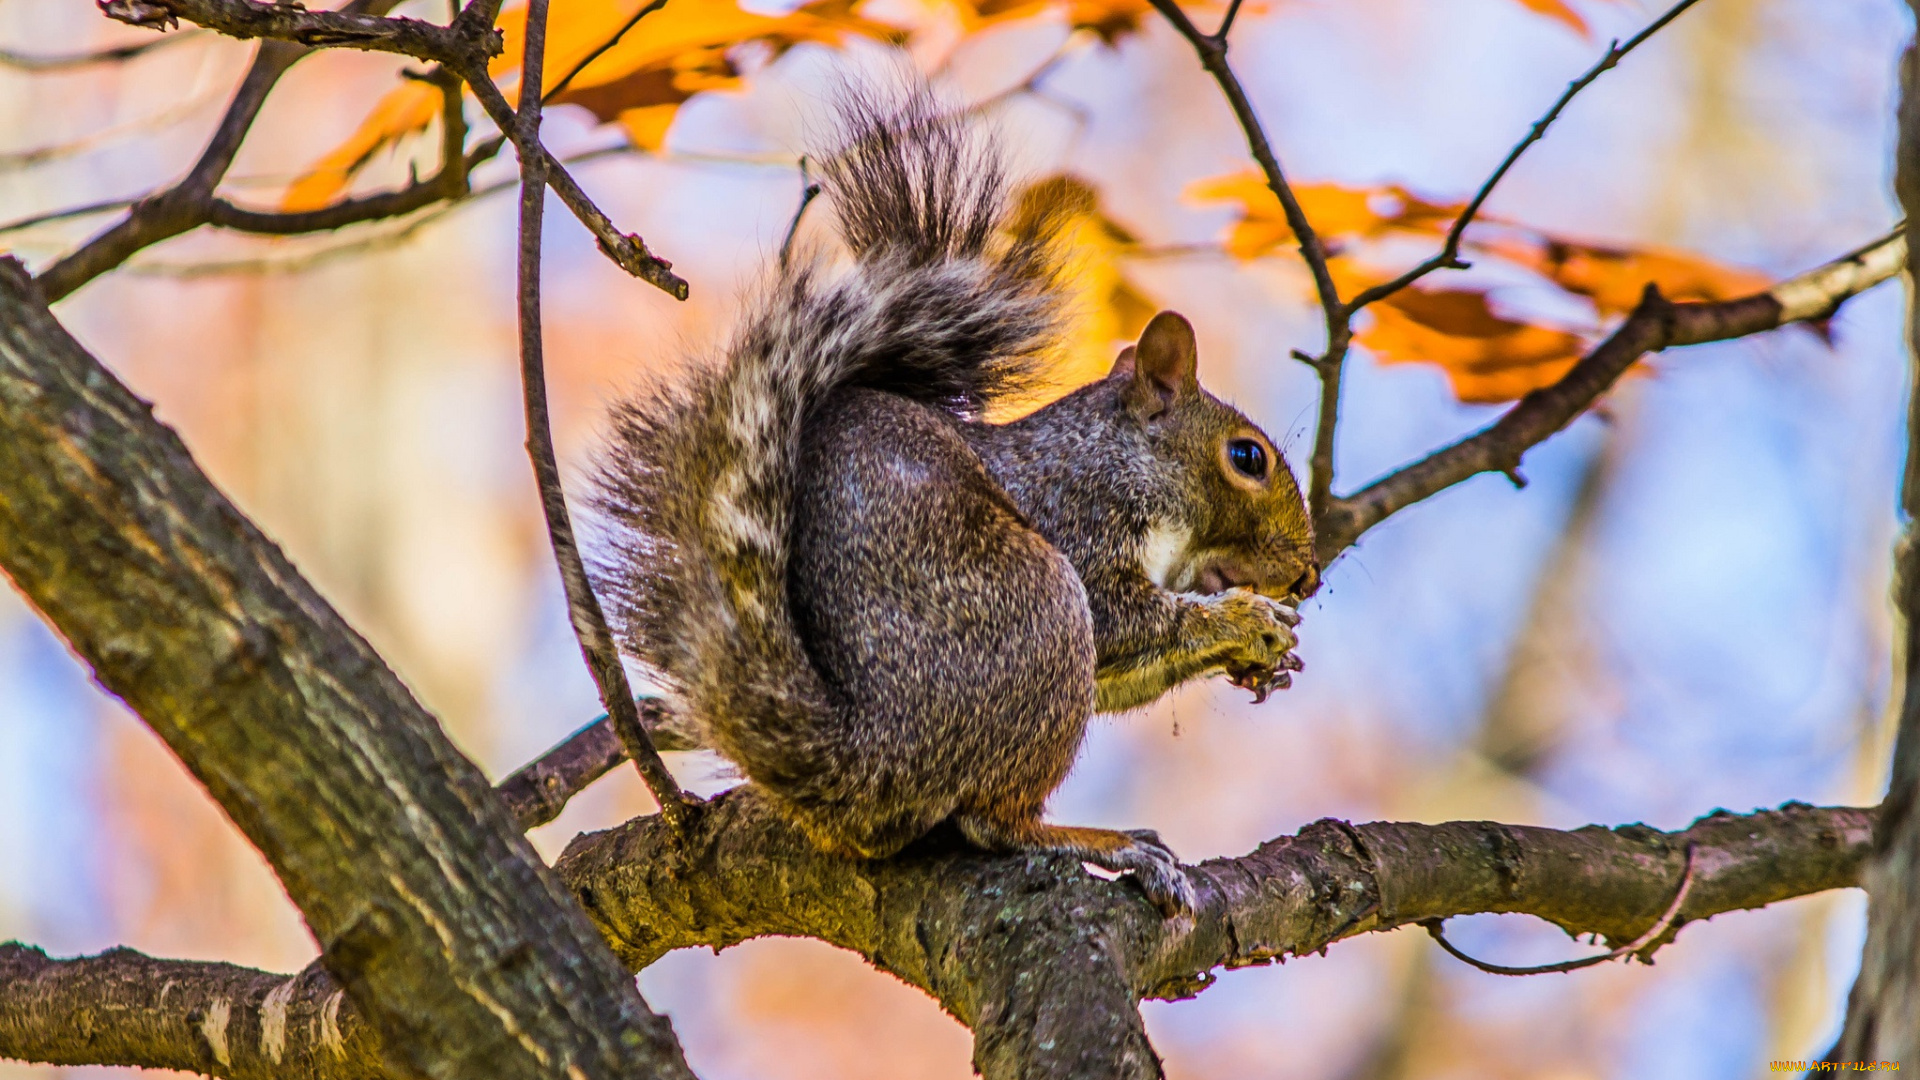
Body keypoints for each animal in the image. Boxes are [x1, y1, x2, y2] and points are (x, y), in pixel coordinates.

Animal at [595, 94, 1320, 914]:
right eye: (1247, 458)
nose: (1307, 576)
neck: (1120, 458)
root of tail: (864, 762)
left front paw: (1263, 663)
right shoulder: (1080, 515)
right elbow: (1124, 619)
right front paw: (1245, 622)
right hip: (1037, 608)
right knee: (993, 821)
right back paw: (1105, 842)